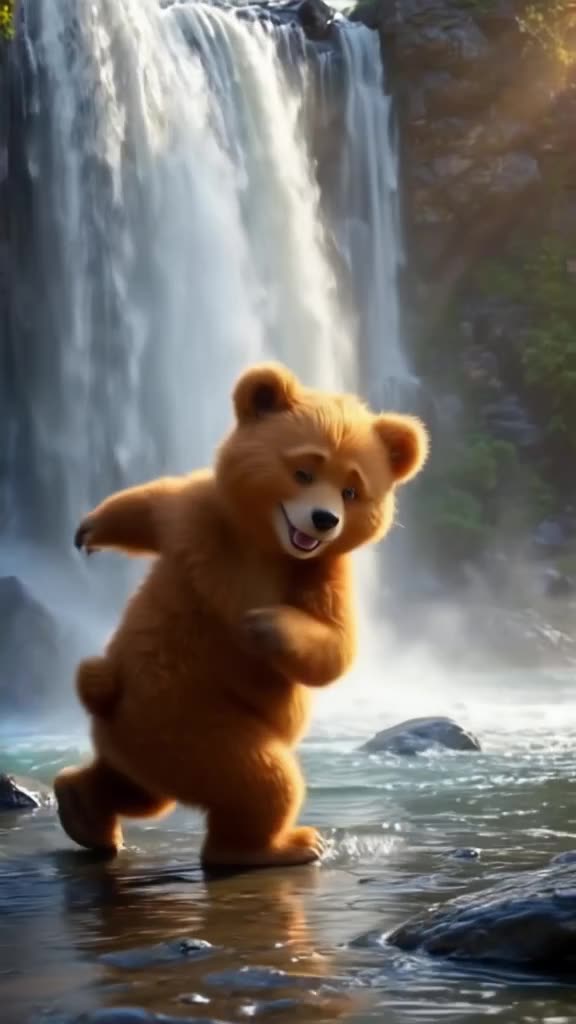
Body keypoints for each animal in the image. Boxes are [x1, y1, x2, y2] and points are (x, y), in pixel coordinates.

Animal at [54, 363, 429, 869]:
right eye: (303, 470)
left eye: (352, 490)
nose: (324, 519)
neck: (262, 540)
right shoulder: (199, 513)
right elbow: (155, 502)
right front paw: (90, 529)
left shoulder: (321, 569)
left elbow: (335, 644)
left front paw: (267, 625)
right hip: (195, 725)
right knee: (261, 779)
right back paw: (274, 846)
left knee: (159, 791)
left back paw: (84, 812)